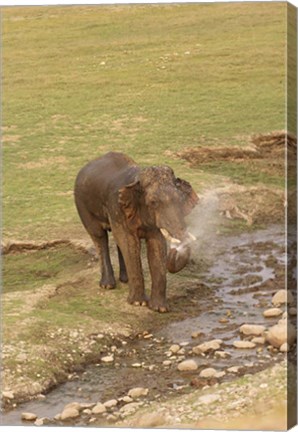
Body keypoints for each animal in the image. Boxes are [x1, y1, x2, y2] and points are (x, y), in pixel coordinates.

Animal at [74, 151, 198, 310]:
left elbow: (156, 244)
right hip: (82, 205)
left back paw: (125, 280)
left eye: (181, 200)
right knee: (99, 236)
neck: (136, 179)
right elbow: (129, 242)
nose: (175, 249)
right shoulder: (117, 207)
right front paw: (139, 303)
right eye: (153, 202)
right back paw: (108, 285)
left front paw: (160, 308)